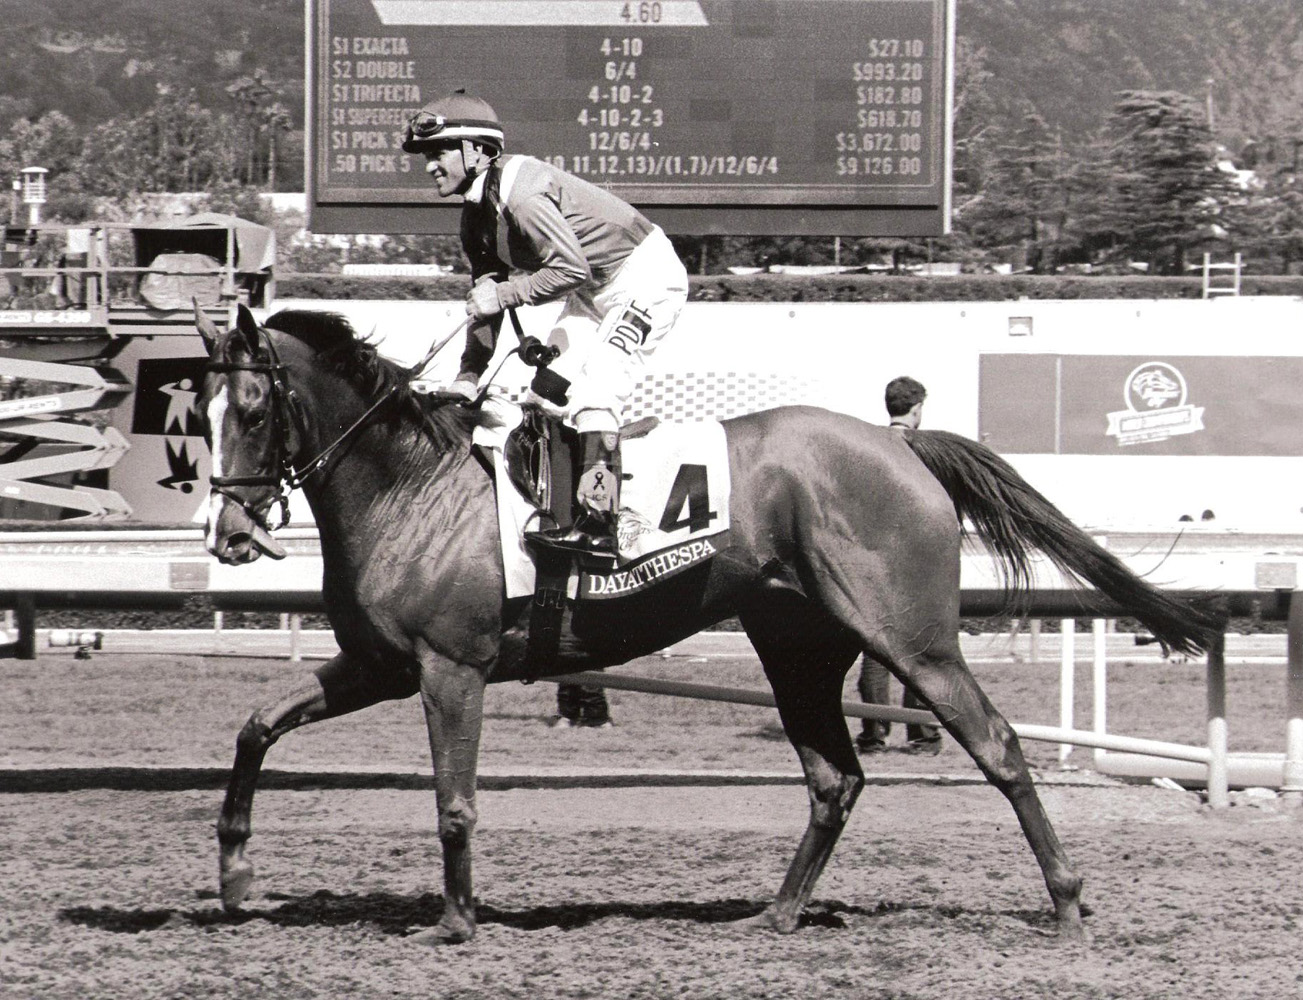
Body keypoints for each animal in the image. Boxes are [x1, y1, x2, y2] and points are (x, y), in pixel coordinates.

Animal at [192, 305, 1219, 949]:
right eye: (197, 412)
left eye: (254, 408)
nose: (231, 535)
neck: (411, 485)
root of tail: (902, 447)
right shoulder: (376, 664)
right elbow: (253, 729)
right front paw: (236, 876)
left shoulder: (452, 667)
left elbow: (453, 801)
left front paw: (454, 920)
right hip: (796, 647)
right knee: (833, 778)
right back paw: (778, 913)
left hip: (910, 641)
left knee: (997, 747)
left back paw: (1068, 905)